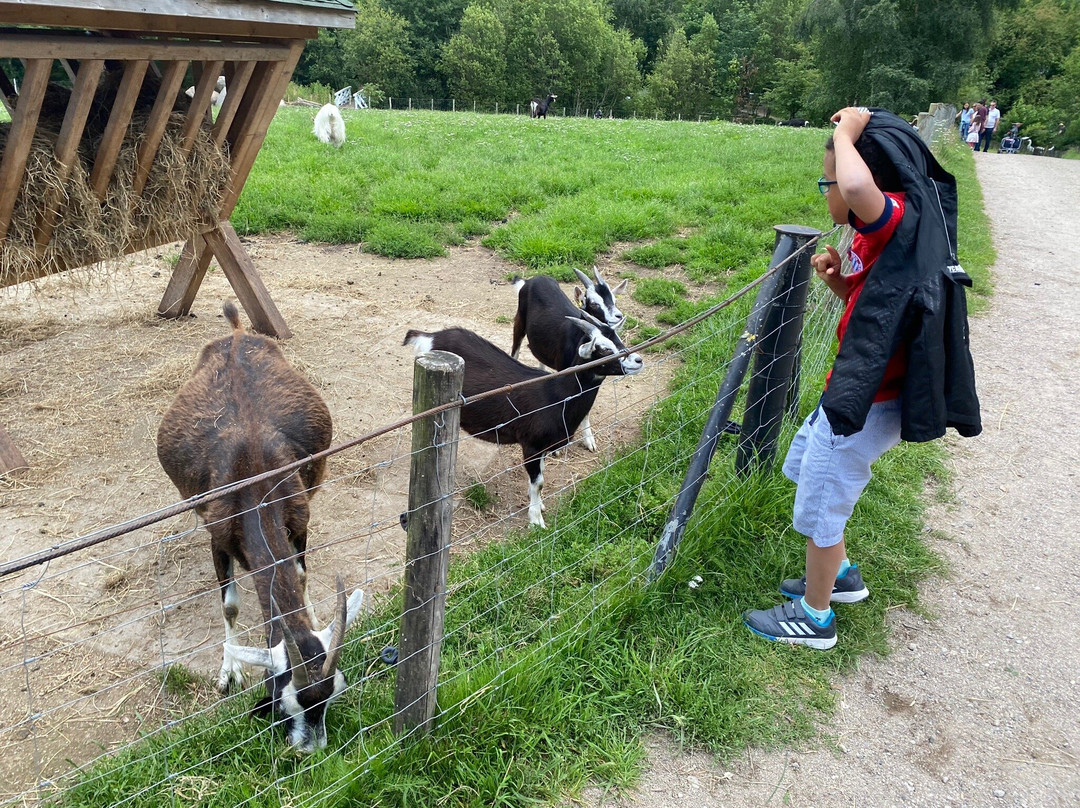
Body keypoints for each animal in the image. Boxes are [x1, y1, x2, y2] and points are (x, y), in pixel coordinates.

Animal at [156, 302, 365, 751]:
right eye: (282, 699)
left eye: (334, 692)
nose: (310, 750)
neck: (252, 474)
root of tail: (237, 334)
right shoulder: (219, 537)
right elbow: (230, 606)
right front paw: (229, 670)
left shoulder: (299, 521)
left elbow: (300, 576)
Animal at [406, 321, 639, 529]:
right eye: (604, 348)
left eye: (617, 338)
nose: (638, 360)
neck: (557, 395)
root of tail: (430, 337)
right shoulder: (531, 445)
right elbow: (539, 481)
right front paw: (536, 520)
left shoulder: (544, 446)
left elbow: (540, 475)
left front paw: (539, 505)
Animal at [507, 270, 630, 447]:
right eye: (593, 303)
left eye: (614, 300)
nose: (618, 316)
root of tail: (532, 280)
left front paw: (589, 440)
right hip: (519, 323)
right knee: (515, 350)